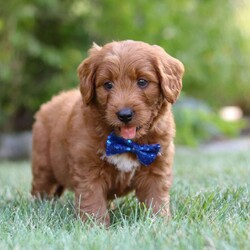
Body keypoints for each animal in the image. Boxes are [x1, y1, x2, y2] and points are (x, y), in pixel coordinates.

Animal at [30, 40, 184, 226]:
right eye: (108, 84)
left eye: (142, 82)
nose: (124, 115)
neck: (127, 143)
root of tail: (51, 101)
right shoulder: (88, 169)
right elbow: (93, 200)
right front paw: (95, 226)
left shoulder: (156, 166)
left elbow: (156, 199)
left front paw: (160, 223)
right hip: (44, 165)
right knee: (41, 188)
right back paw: (38, 207)